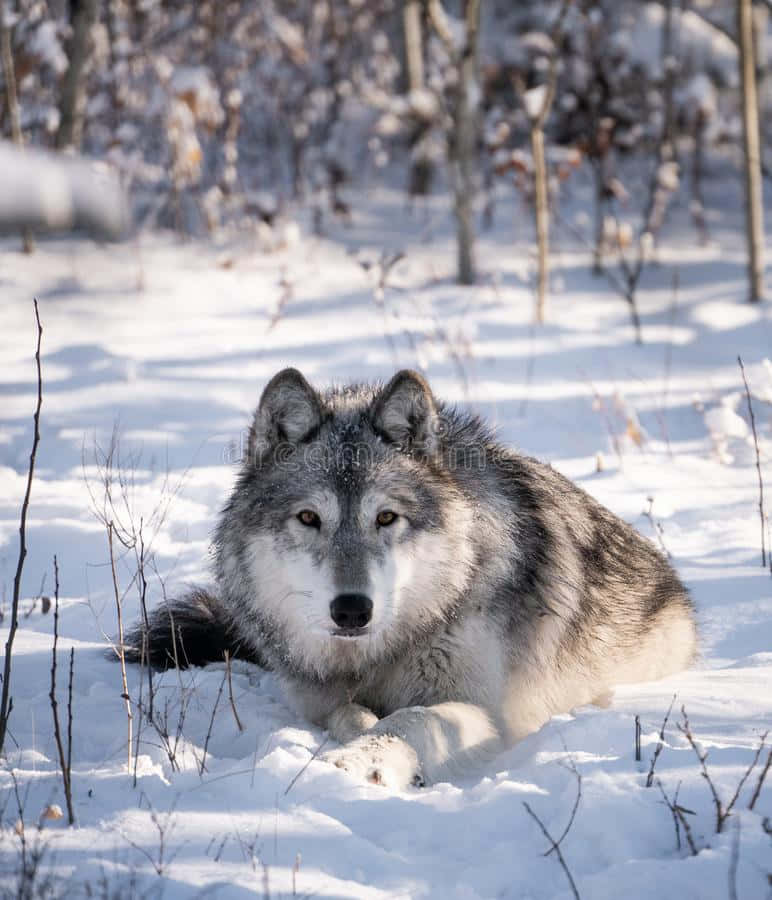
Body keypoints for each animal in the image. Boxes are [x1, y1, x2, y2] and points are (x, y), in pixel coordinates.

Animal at [127, 368, 697, 787]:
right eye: (309, 518)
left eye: (386, 518)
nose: (352, 609)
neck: (384, 652)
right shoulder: (320, 698)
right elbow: (351, 713)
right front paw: (358, 731)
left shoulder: (492, 713)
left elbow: (411, 720)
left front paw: (353, 763)